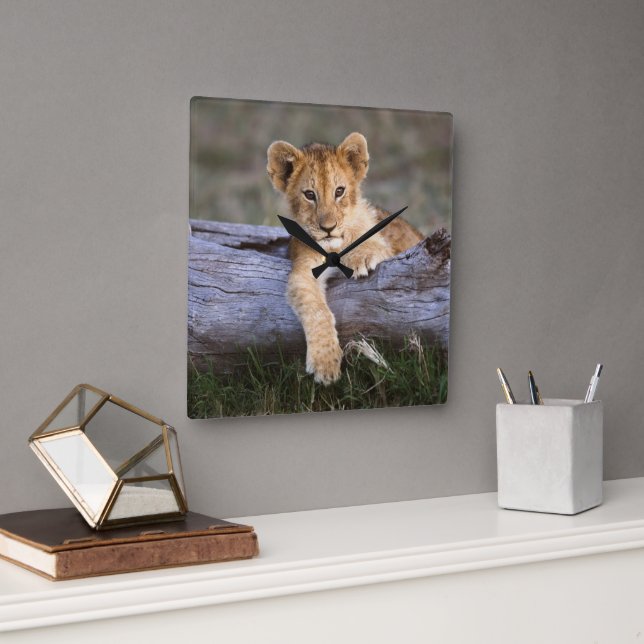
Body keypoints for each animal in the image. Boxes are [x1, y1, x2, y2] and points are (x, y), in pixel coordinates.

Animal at [267, 132, 424, 385]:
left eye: (339, 191)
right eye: (310, 195)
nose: (328, 228)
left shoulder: (387, 247)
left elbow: (368, 241)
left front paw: (361, 257)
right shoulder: (302, 272)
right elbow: (316, 310)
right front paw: (325, 364)